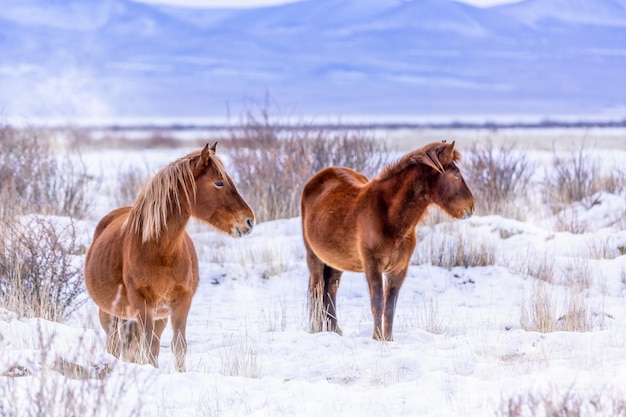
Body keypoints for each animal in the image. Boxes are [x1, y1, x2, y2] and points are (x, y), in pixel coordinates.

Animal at [83, 144, 254, 370]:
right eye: (219, 183)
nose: (249, 221)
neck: (161, 252)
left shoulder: (181, 301)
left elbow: (177, 346)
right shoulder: (141, 302)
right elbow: (146, 347)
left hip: (157, 317)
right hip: (111, 314)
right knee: (115, 344)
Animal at [300, 141, 470, 340]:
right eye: (456, 175)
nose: (471, 207)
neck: (389, 216)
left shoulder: (398, 269)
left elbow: (390, 307)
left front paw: (388, 339)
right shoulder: (373, 267)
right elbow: (378, 303)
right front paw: (377, 338)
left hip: (335, 261)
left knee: (331, 289)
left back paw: (334, 329)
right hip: (314, 257)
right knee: (317, 289)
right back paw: (316, 330)